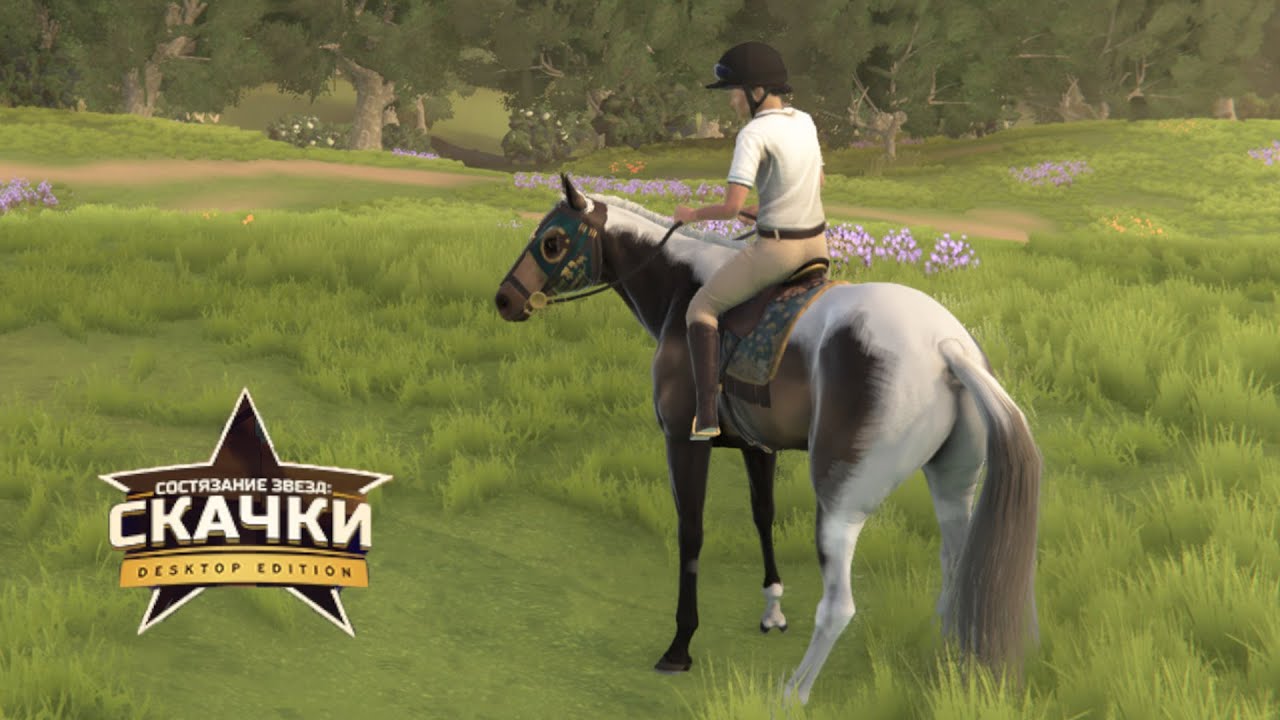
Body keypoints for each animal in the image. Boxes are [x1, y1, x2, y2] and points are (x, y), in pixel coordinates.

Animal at [493, 173, 1042, 703]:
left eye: (553, 242)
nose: (504, 299)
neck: (684, 286)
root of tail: (947, 345)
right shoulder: (759, 448)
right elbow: (763, 516)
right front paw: (773, 610)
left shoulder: (684, 442)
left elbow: (691, 532)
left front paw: (680, 646)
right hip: (951, 483)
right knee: (957, 568)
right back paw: (944, 662)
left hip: (842, 502)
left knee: (839, 606)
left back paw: (794, 692)